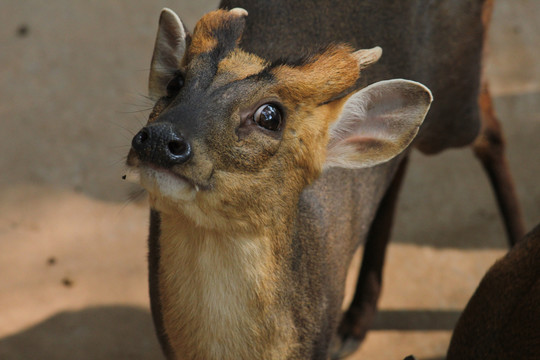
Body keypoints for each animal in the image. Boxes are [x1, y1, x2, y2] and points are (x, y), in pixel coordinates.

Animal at [125, 1, 524, 358]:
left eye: (270, 116)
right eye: (175, 83)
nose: (160, 139)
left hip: (457, 105)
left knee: (489, 128)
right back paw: (357, 321)